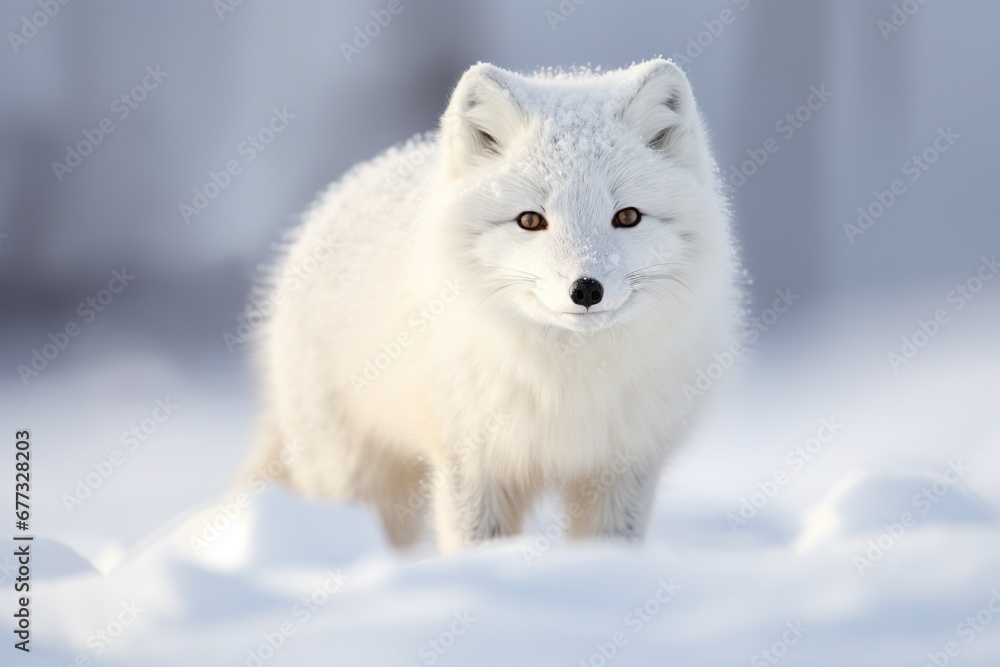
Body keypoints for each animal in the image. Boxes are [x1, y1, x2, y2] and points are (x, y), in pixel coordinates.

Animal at [248, 58, 736, 552]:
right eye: (531, 220)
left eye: (628, 217)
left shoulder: (623, 464)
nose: (586, 289)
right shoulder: (471, 460)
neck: (568, 377)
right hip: (351, 473)